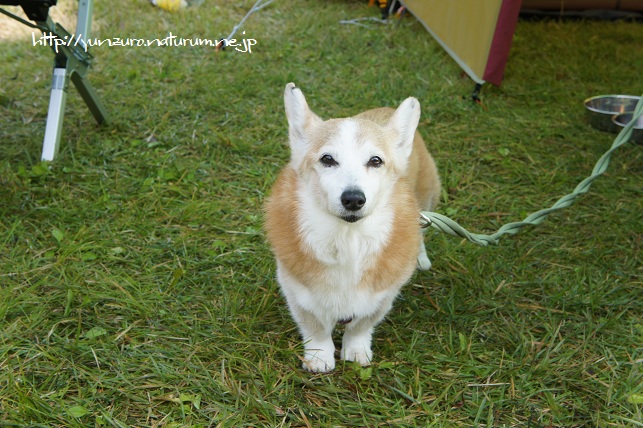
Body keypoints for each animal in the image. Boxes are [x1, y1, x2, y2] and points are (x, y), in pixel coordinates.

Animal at [264, 83, 440, 372]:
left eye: (376, 161)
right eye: (327, 159)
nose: (354, 199)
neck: (348, 240)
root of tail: (387, 108)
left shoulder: (383, 297)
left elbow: (361, 326)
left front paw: (356, 352)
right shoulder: (296, 291)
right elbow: (315, 327)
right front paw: (319, 358)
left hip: (427, 197)